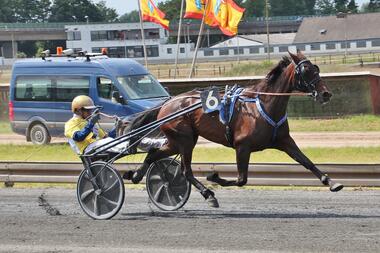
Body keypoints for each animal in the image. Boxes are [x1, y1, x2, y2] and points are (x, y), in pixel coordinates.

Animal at [125, 52, 344, 208]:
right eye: (306, 71)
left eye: (316, 68)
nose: (326, 94)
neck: (264, 104)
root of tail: (168, 102)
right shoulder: (242, 146)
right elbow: (241, 179)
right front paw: (214, 177)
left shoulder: (284, 141)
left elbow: (306, 161)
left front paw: (331, 181)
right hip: (185, 140)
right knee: (186, 171)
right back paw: (208, 195)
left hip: (177, 140)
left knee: (154, 153)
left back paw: (136, 175)